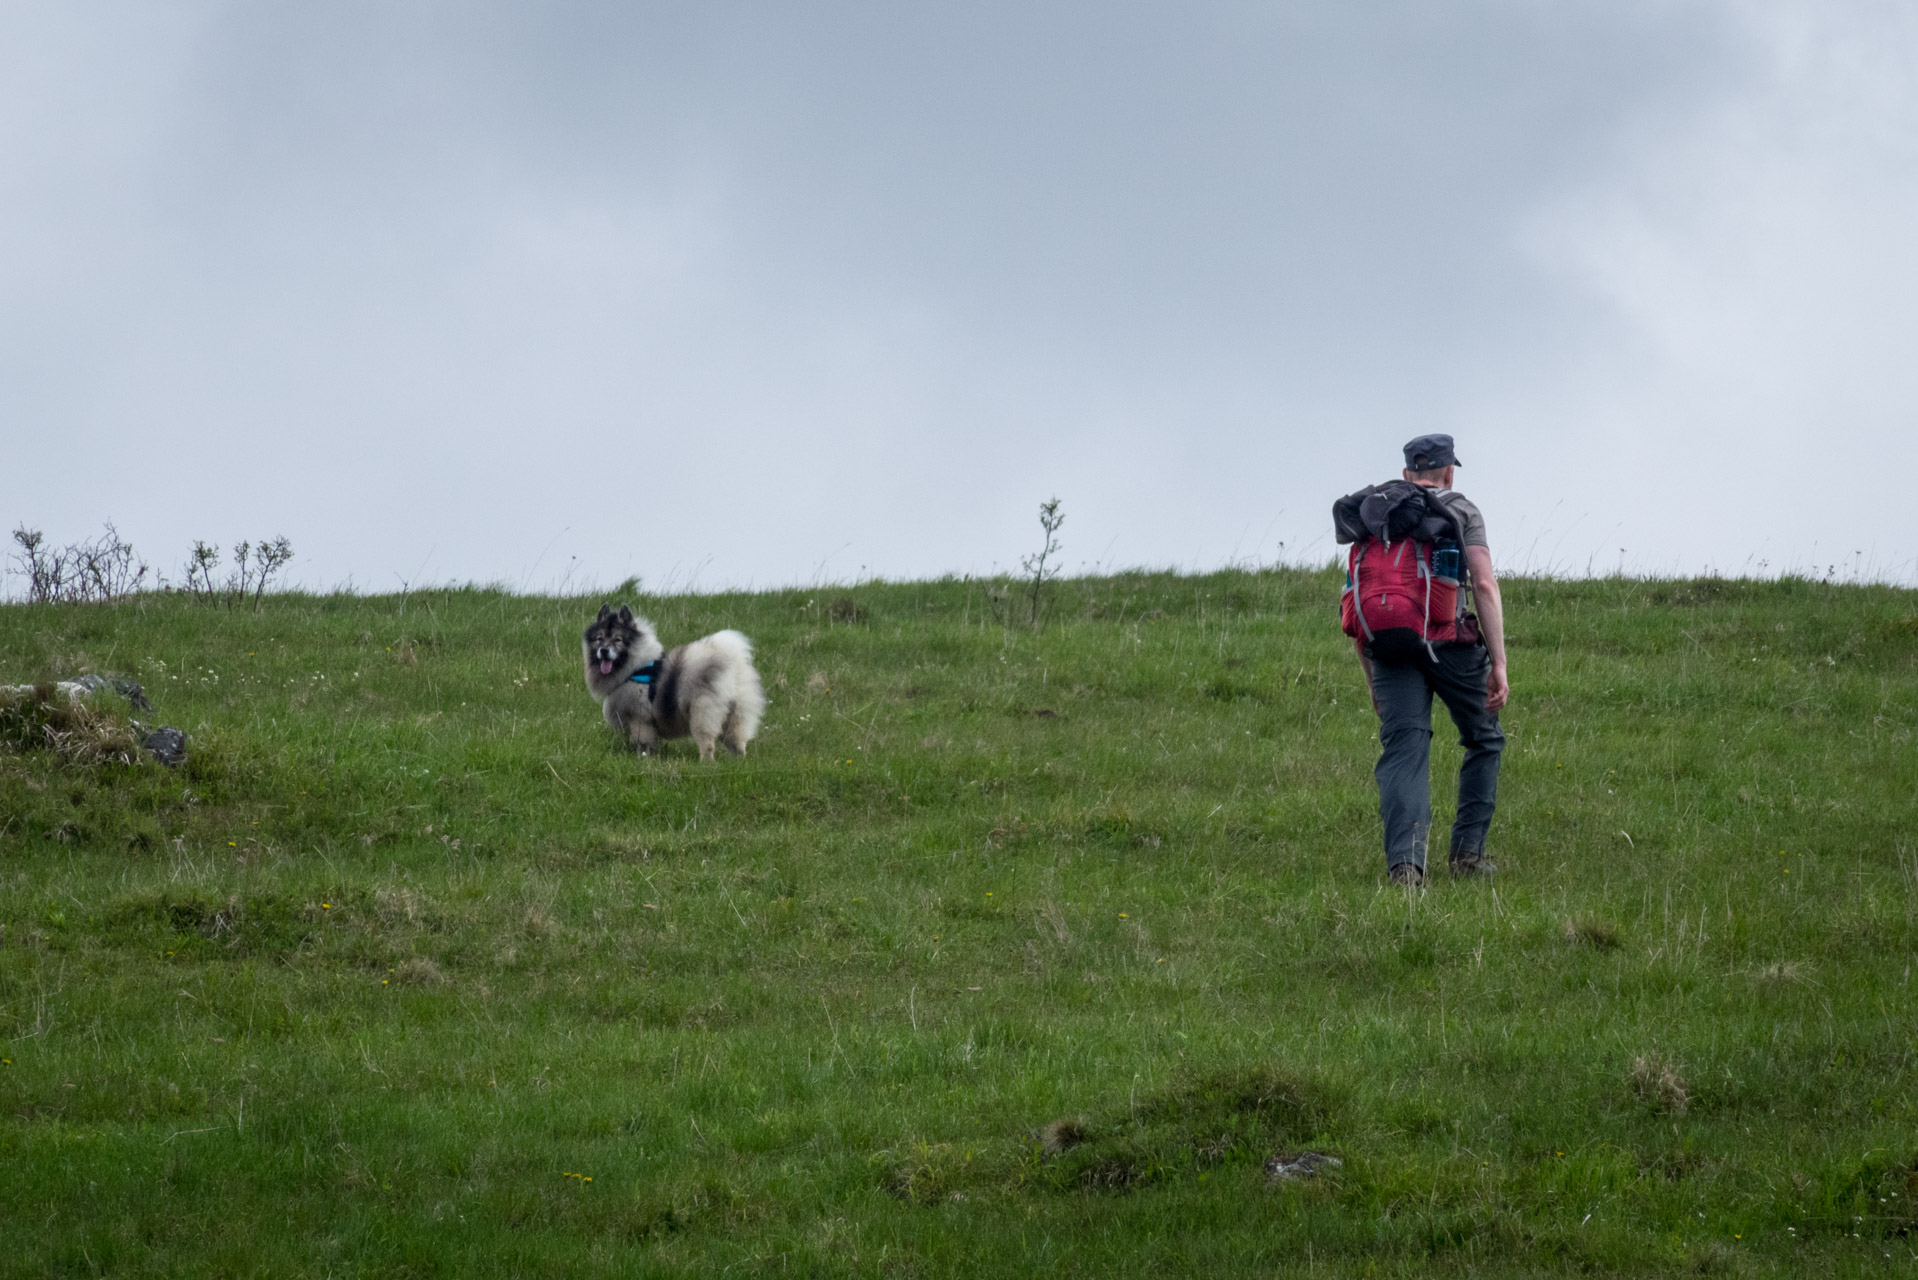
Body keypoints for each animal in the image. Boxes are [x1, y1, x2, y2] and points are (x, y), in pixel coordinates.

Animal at [579, 610, 767, 759]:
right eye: (599, 639)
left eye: (618, 640)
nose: (604, 650)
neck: (635, 668)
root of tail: (731, 666)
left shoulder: (640, 720)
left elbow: (643, 743)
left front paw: (642, 758)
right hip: (735, 715)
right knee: (738, 741)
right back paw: (739, 761)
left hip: (702, 714)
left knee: (707, 743)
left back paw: (705, 763)